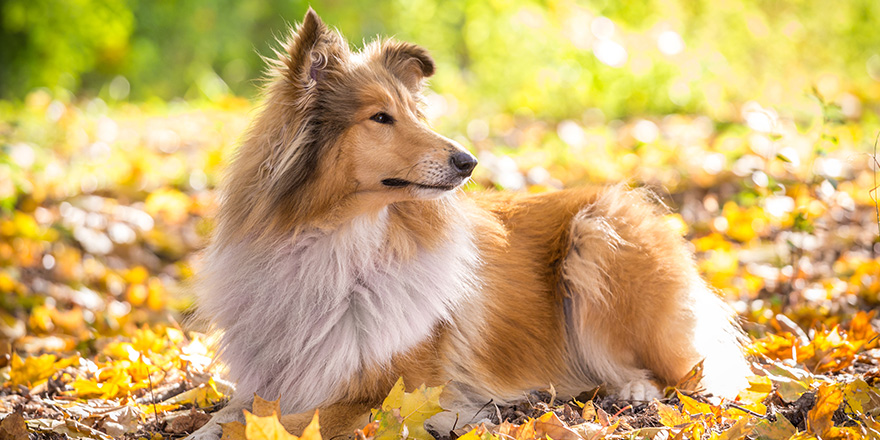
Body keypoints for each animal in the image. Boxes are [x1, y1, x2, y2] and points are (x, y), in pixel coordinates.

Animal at [191, 8, 748, 438]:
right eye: (380, 117)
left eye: (414, 115)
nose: (468, 162)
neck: (336, 241)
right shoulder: (273, 379)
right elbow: (235, 413)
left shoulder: (397, 393)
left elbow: (300, 420)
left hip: (595, 239)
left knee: (684, 372)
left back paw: (631, 389)